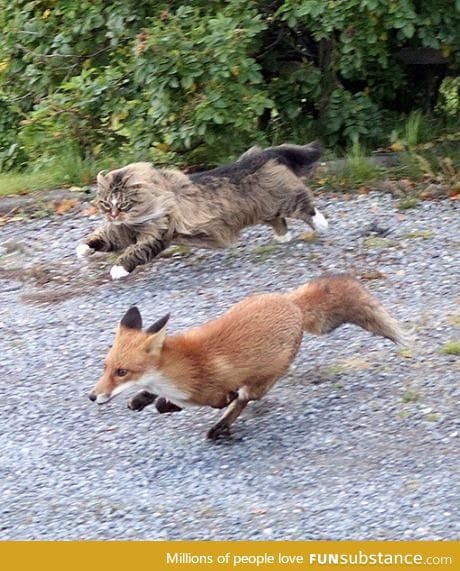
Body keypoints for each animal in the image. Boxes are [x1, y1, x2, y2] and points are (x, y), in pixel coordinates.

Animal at [76, 141, 328, 280]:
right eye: (105, 203)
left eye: (123, 204)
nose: (113, 215)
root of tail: (258, 155)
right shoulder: (122, 231)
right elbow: (101, 237)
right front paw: (82, 248)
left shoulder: (157, 233)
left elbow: (134, 252)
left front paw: (118, 270)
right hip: (265, 208)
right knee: (279, 220)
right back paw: (283, 238)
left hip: (283, 199)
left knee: (304, 203)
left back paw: (321, 224)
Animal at [89, 274, 410, 440]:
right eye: (106, 367)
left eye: (122, 372)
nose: (92, 396)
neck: (181, 368)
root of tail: (291, 303)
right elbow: (153, 399)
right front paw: (143, 399)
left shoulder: (217, 392)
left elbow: (219, 400)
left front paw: (164, 403)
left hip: (262, 380)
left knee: (244, 399)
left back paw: (220, 428)